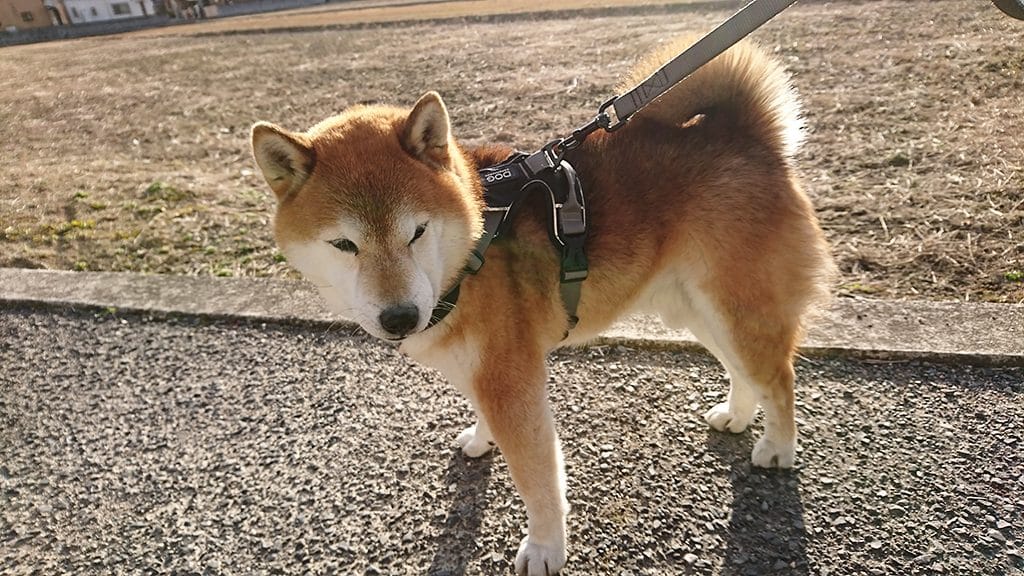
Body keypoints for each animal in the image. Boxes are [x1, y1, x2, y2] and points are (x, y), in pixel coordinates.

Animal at [251, 38, 835, 569]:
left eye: (416, 232)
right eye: (343, 244)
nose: (400, 317)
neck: (474, 241)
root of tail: (750, 136)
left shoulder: (512, 381)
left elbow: (538, 480)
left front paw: (546, 548)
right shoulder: (485, 371)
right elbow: (483, 415)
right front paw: (480, 439)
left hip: (735, 306)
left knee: (779, 377)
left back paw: (778, 447)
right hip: (697, 309)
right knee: (745, 371)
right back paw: (736, 415)